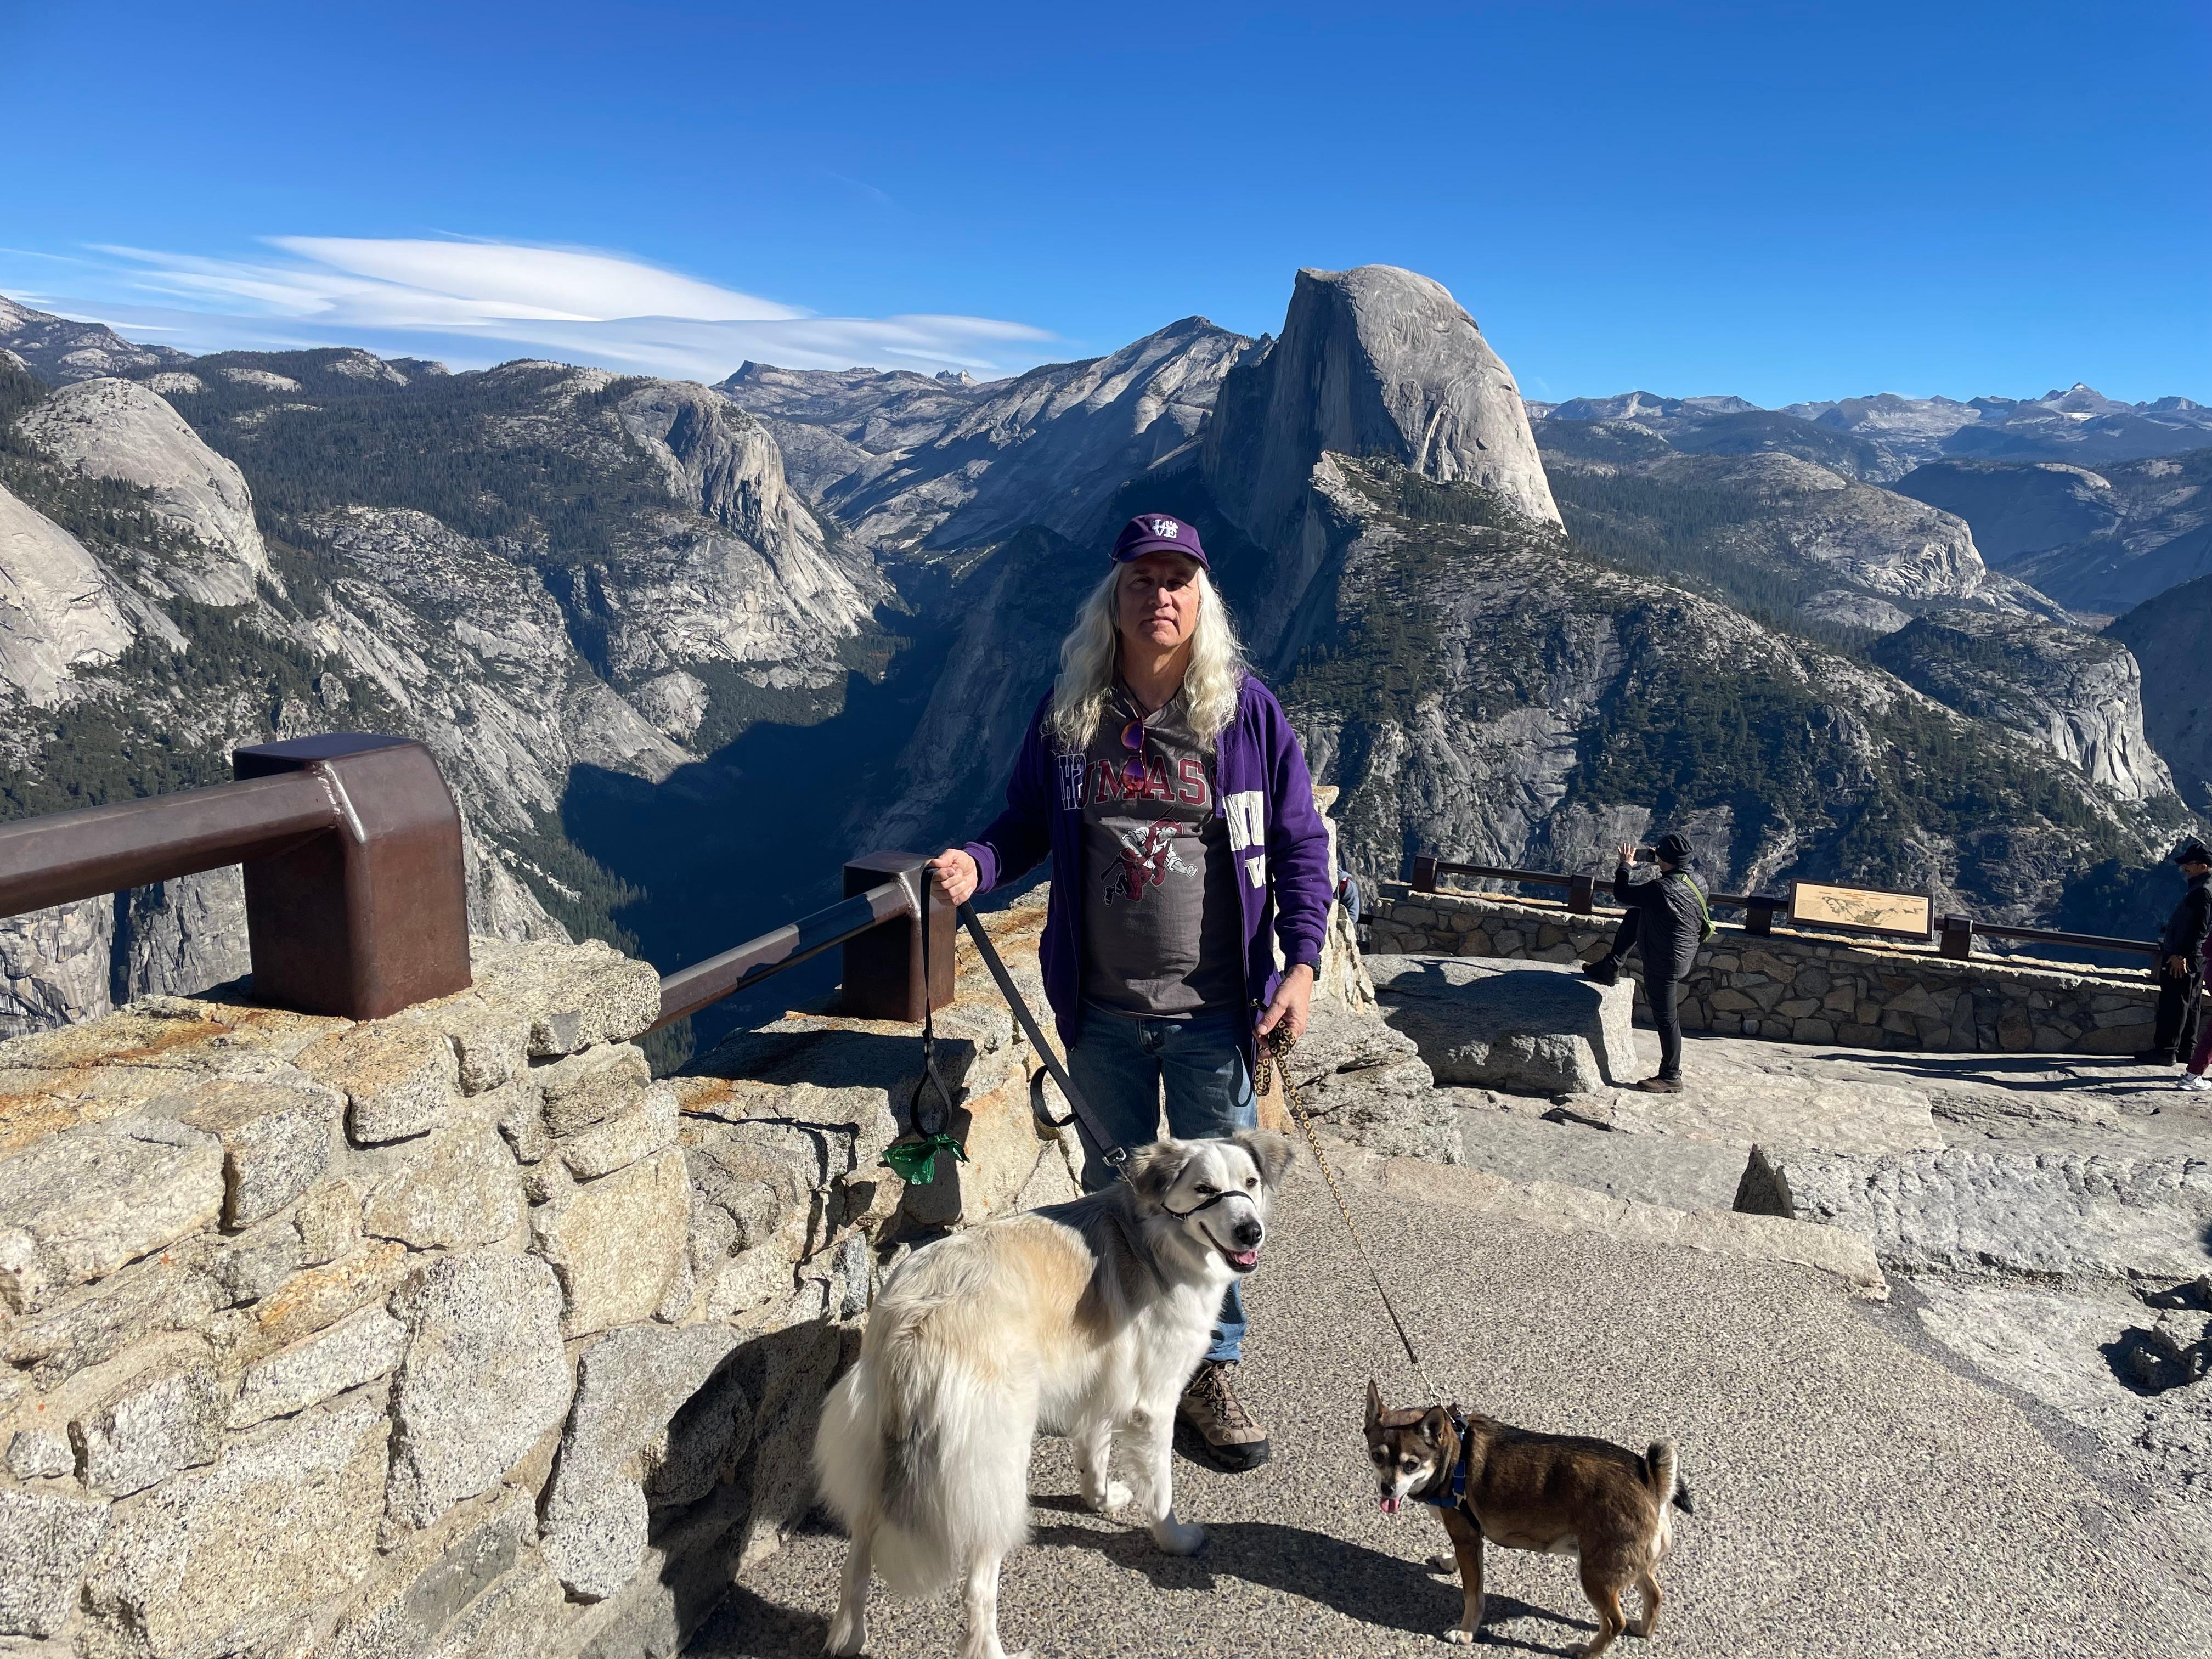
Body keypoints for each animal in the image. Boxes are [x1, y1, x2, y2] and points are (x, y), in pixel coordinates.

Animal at [814, 1130, 1294, 1659]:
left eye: (1250, 1183)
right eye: (1205, 1189)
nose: (1251, 1232)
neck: (1155, 1237)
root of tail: (912, 1324)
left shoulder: (1103, 1384)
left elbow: (1094, 1454)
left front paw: (1101, 1501)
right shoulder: (1154, 1404)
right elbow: (1161, 1489)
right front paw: (1175, 1540)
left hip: (872, 1457)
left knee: (857, 1560)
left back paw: (848, 1638)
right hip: (994, 1468)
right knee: (977, 1588)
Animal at [1364, 1381, 1694, 1657]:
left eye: (1411, 1464)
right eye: (1377, 1457)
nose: (1387, 1488)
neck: (1451, 1453)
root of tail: (1653, 1481)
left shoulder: (1467, 1538)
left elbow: (1473, 1595)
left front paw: (1467, 1632)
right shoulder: (1469, 1538)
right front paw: (1448, 1562)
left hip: (1597, 1572)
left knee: (1614, 1622)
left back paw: (1587, 1651)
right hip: (1629, 1562)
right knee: (1654, 1595)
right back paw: (1643, 1628)